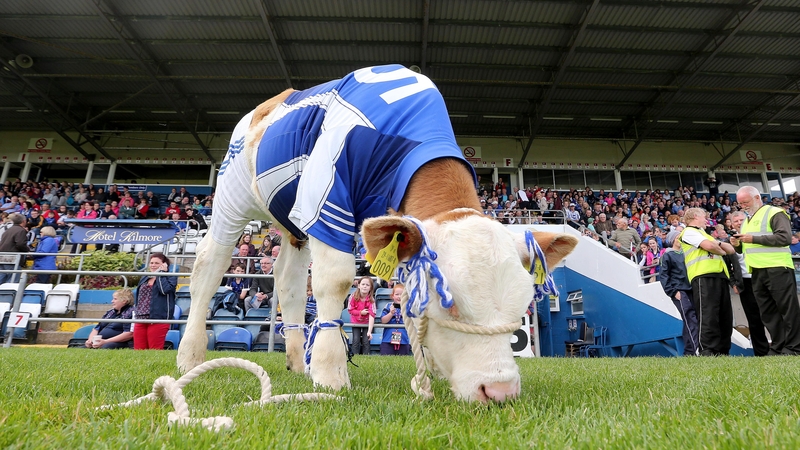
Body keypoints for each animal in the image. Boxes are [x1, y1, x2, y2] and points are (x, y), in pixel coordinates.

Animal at [177, 65, 578, 402]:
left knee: (288, 281)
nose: (499, 391)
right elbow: (336, 281)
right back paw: (190, 355)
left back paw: (296, 360)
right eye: (450, 305)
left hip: (294, 221)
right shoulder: (328, 201)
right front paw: (330, 373)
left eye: (521, 309)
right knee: (208, 268)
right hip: (232, 198)